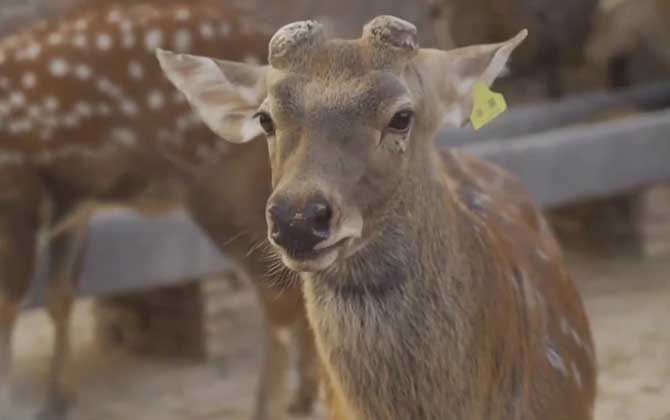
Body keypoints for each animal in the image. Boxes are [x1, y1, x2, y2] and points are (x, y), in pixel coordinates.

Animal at [0, 3, 320, 420]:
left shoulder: (17, 195)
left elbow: (9, 308)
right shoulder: (72, 203)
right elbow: (59, 294)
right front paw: (58, 399)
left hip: (223, 188)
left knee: (278, 297)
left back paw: (268, 407)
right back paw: (304, 396)